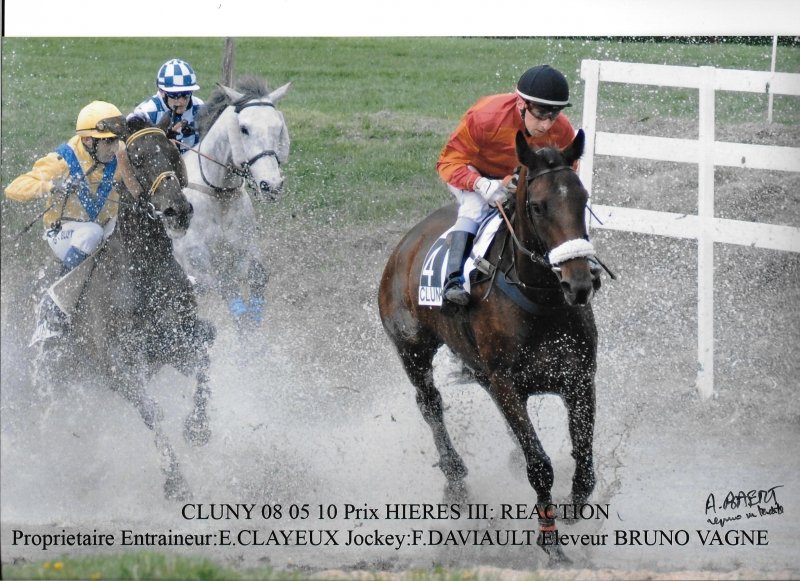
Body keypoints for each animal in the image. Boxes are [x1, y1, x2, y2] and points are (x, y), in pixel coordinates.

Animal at [32, 116, 215, 501]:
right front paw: (175, 481)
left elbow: (204, 359)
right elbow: (152, 412)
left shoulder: (173, 344)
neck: (143, 270)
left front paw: (197, 427)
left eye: (173, 153)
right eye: (138, 158)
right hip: (62, 377)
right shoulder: (118, 367)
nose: (178, 210)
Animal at [172, 76, 291, 327]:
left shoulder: (244, 250)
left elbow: (257, 276)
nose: (271, 184)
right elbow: (225, 287)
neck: (218, 194)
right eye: (244, 129)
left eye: (278, 127)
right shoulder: (198, 264)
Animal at [378, 129, 606, 566]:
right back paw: (455, 481)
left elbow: (585, 464)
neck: (541, 300)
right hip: (412, 350)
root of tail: (404, 246)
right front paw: (551, 545)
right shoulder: (506, 384)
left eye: (583, 199)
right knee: (430, 404)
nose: (579, 283)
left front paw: (571, 511)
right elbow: (540, 465)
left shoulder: (579, 379)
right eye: (537, 207)